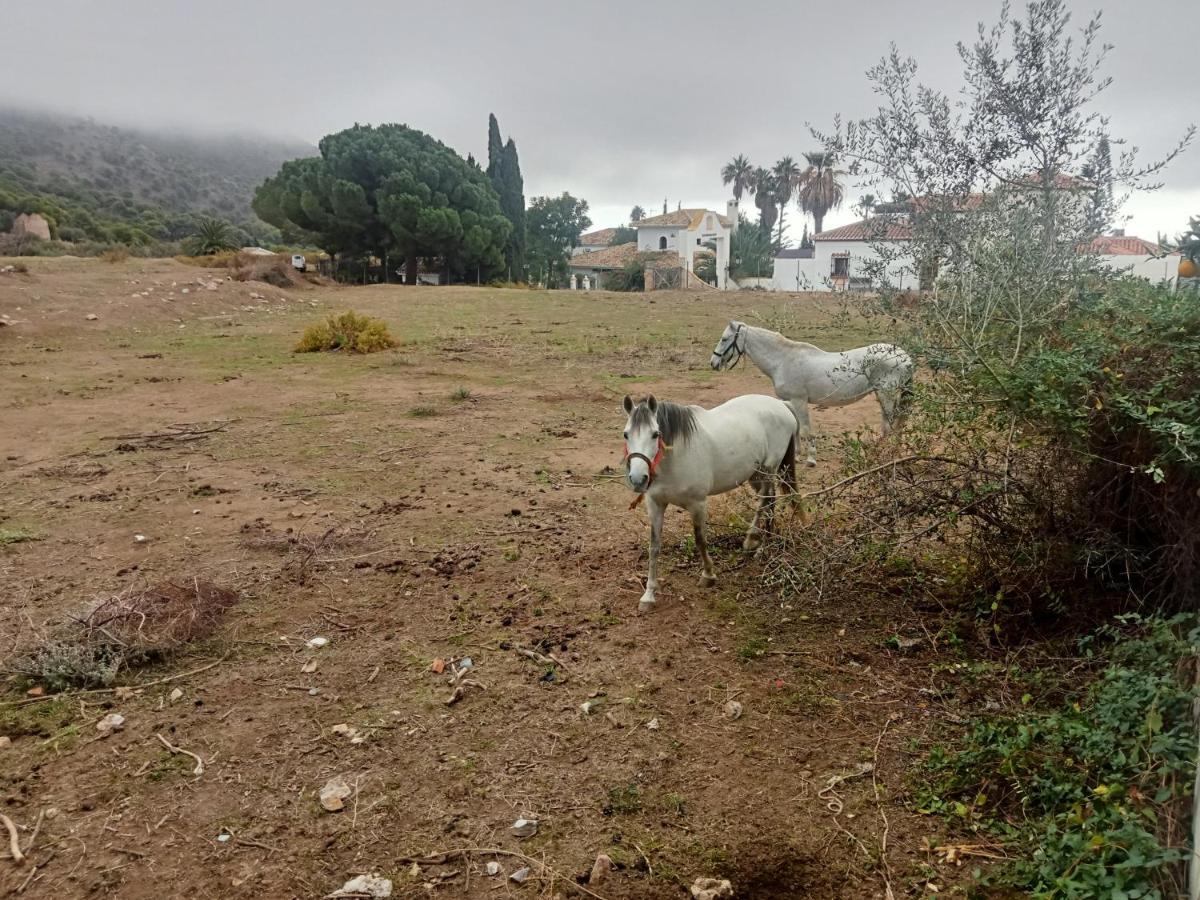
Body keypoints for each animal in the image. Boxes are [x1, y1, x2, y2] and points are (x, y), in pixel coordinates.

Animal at [619, 393, 796, 614]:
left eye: (655, 434)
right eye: (626, 434)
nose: (638, 479)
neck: (675, 459)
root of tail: (781, 404)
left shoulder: (698, 505)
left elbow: (700, 540)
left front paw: (708, 575)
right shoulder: (655, 505)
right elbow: (654, 547)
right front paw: (649, 594)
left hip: (769, 469)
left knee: (765, 499)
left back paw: (754, 542)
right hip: (755, 475)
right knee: (770, 500)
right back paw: (764, 539)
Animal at [705, 321, 912, 465]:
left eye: (724, 339)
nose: (713, 363)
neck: (783, 360)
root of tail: (905, 356)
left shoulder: (799, 400)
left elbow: (805, 429)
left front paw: (811, 459)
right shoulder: (790, 401)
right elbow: (796, 426)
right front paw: (796, 455)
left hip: (886, 394)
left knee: (890, 424)